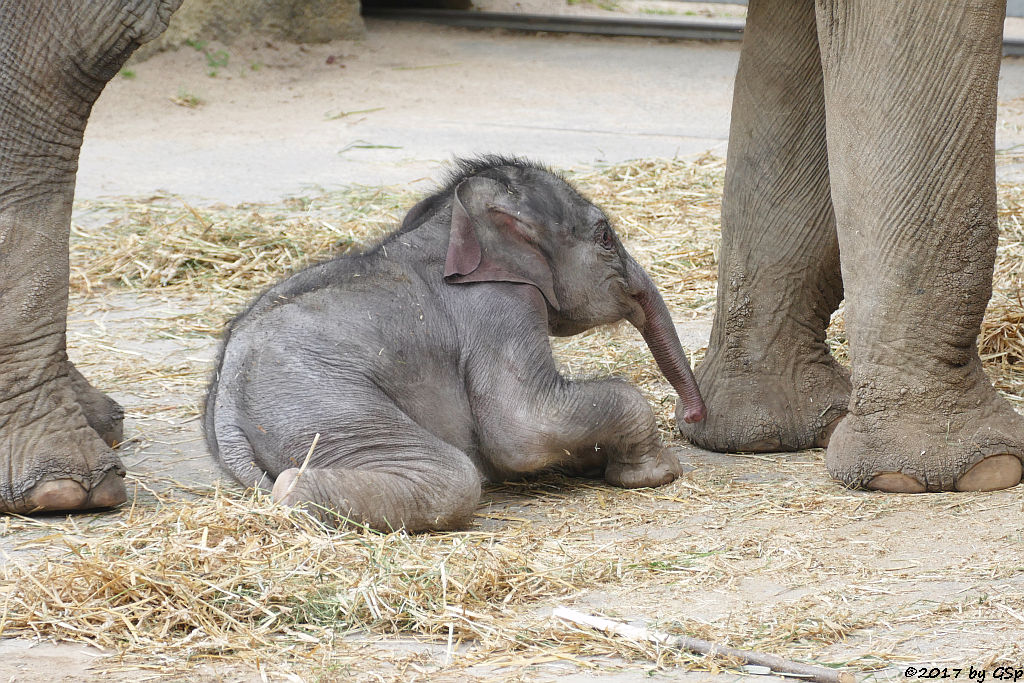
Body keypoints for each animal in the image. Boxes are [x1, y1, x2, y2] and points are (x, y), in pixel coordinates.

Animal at [203, 156, 708, 532]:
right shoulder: (496, 306)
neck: (445, 224)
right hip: (324, 405)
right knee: (452, 478)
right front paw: (658, 473)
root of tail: (224, 402)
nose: (691, 416)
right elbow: (525, 426)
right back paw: (291, 490)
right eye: (605, 236)